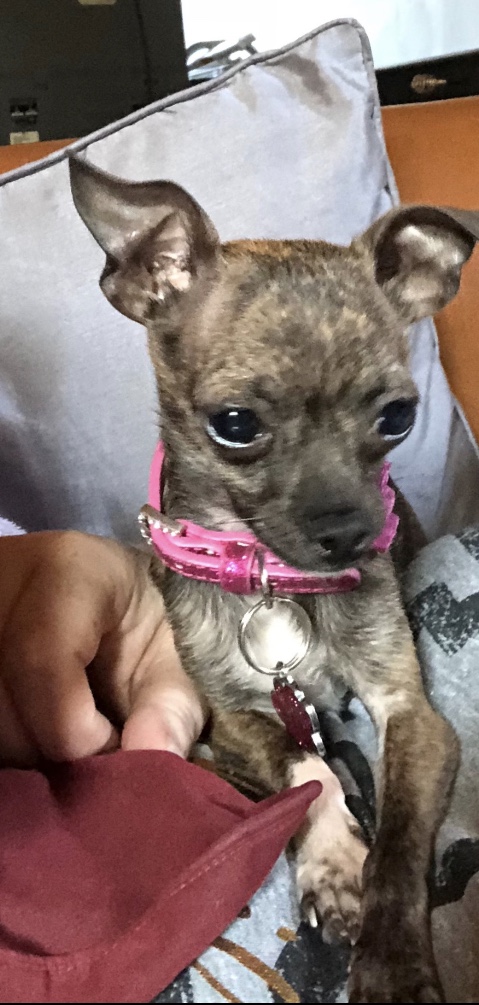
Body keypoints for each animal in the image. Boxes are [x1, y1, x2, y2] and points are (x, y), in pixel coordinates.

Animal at [70, 154, 479, 1003]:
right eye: (234, 425)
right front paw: (334, 860)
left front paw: (391, 962)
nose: (352, 533)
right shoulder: (232, 717)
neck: (275, 586)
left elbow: (398, 844)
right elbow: (304, 767)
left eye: (397, 415)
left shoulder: (412, 714)